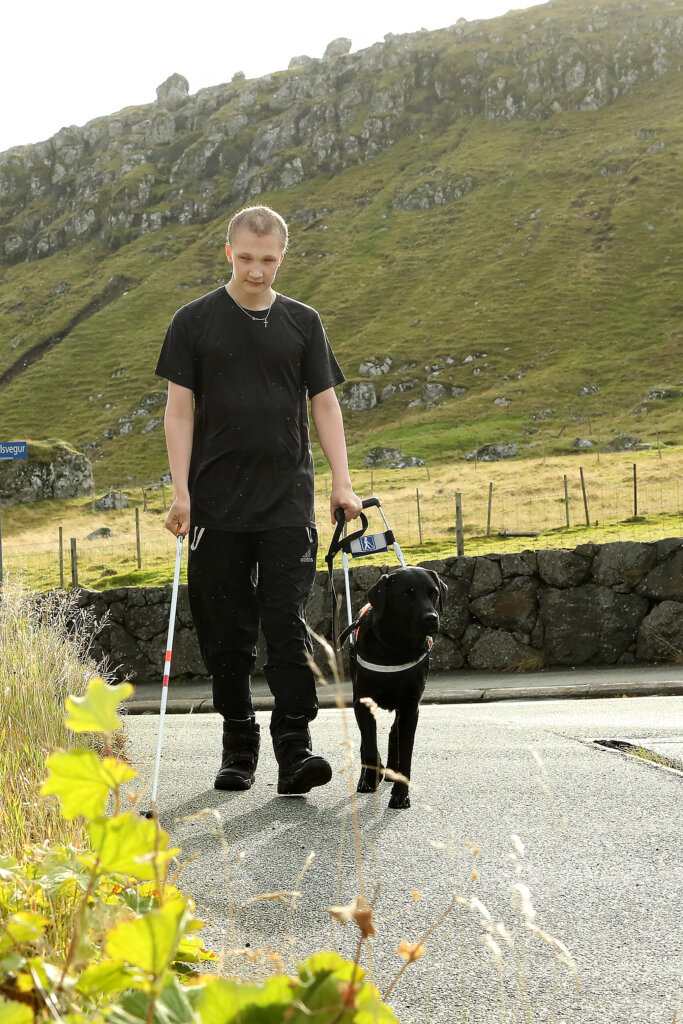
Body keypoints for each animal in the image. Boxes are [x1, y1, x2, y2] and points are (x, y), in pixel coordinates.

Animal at [348, 569, 448, 806]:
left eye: (434, 593)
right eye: (405, 594)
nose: (431, 618)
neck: (396, 647)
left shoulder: (411, 707)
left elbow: (406, 754)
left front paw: (401, 794)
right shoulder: (362, 704)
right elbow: (369, 746)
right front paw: (370, 778)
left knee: (395, 733)